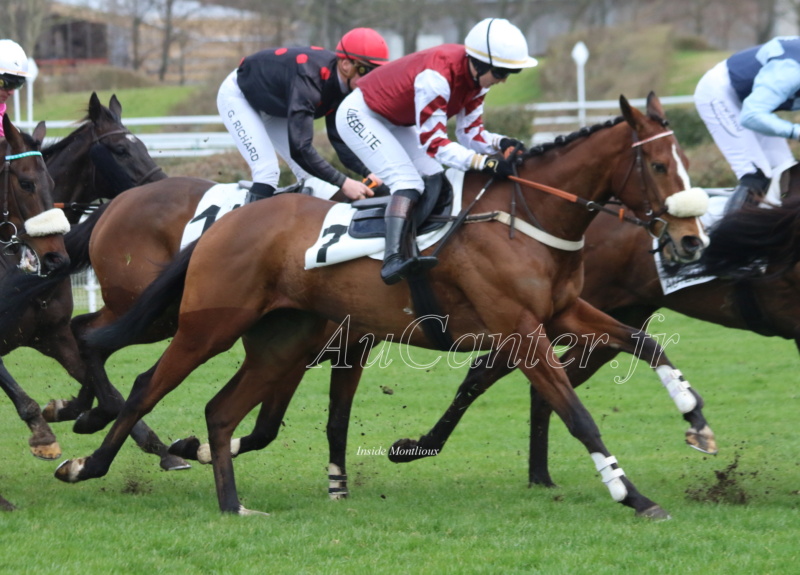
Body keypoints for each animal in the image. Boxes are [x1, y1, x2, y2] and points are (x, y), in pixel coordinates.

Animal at [62, 93, 708, 516]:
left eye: (683, 162)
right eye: (657, 164)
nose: (690, 239)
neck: (524, 218)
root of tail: (226, 224)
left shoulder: (561, 314)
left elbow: (647, 342)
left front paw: (696, 419)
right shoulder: (520, 331)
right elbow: (576, 412)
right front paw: (632, 494)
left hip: (279, 340)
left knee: (218, 410)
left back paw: (229, 502)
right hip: (203, 326)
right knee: (138, 378)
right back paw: (88, 461)